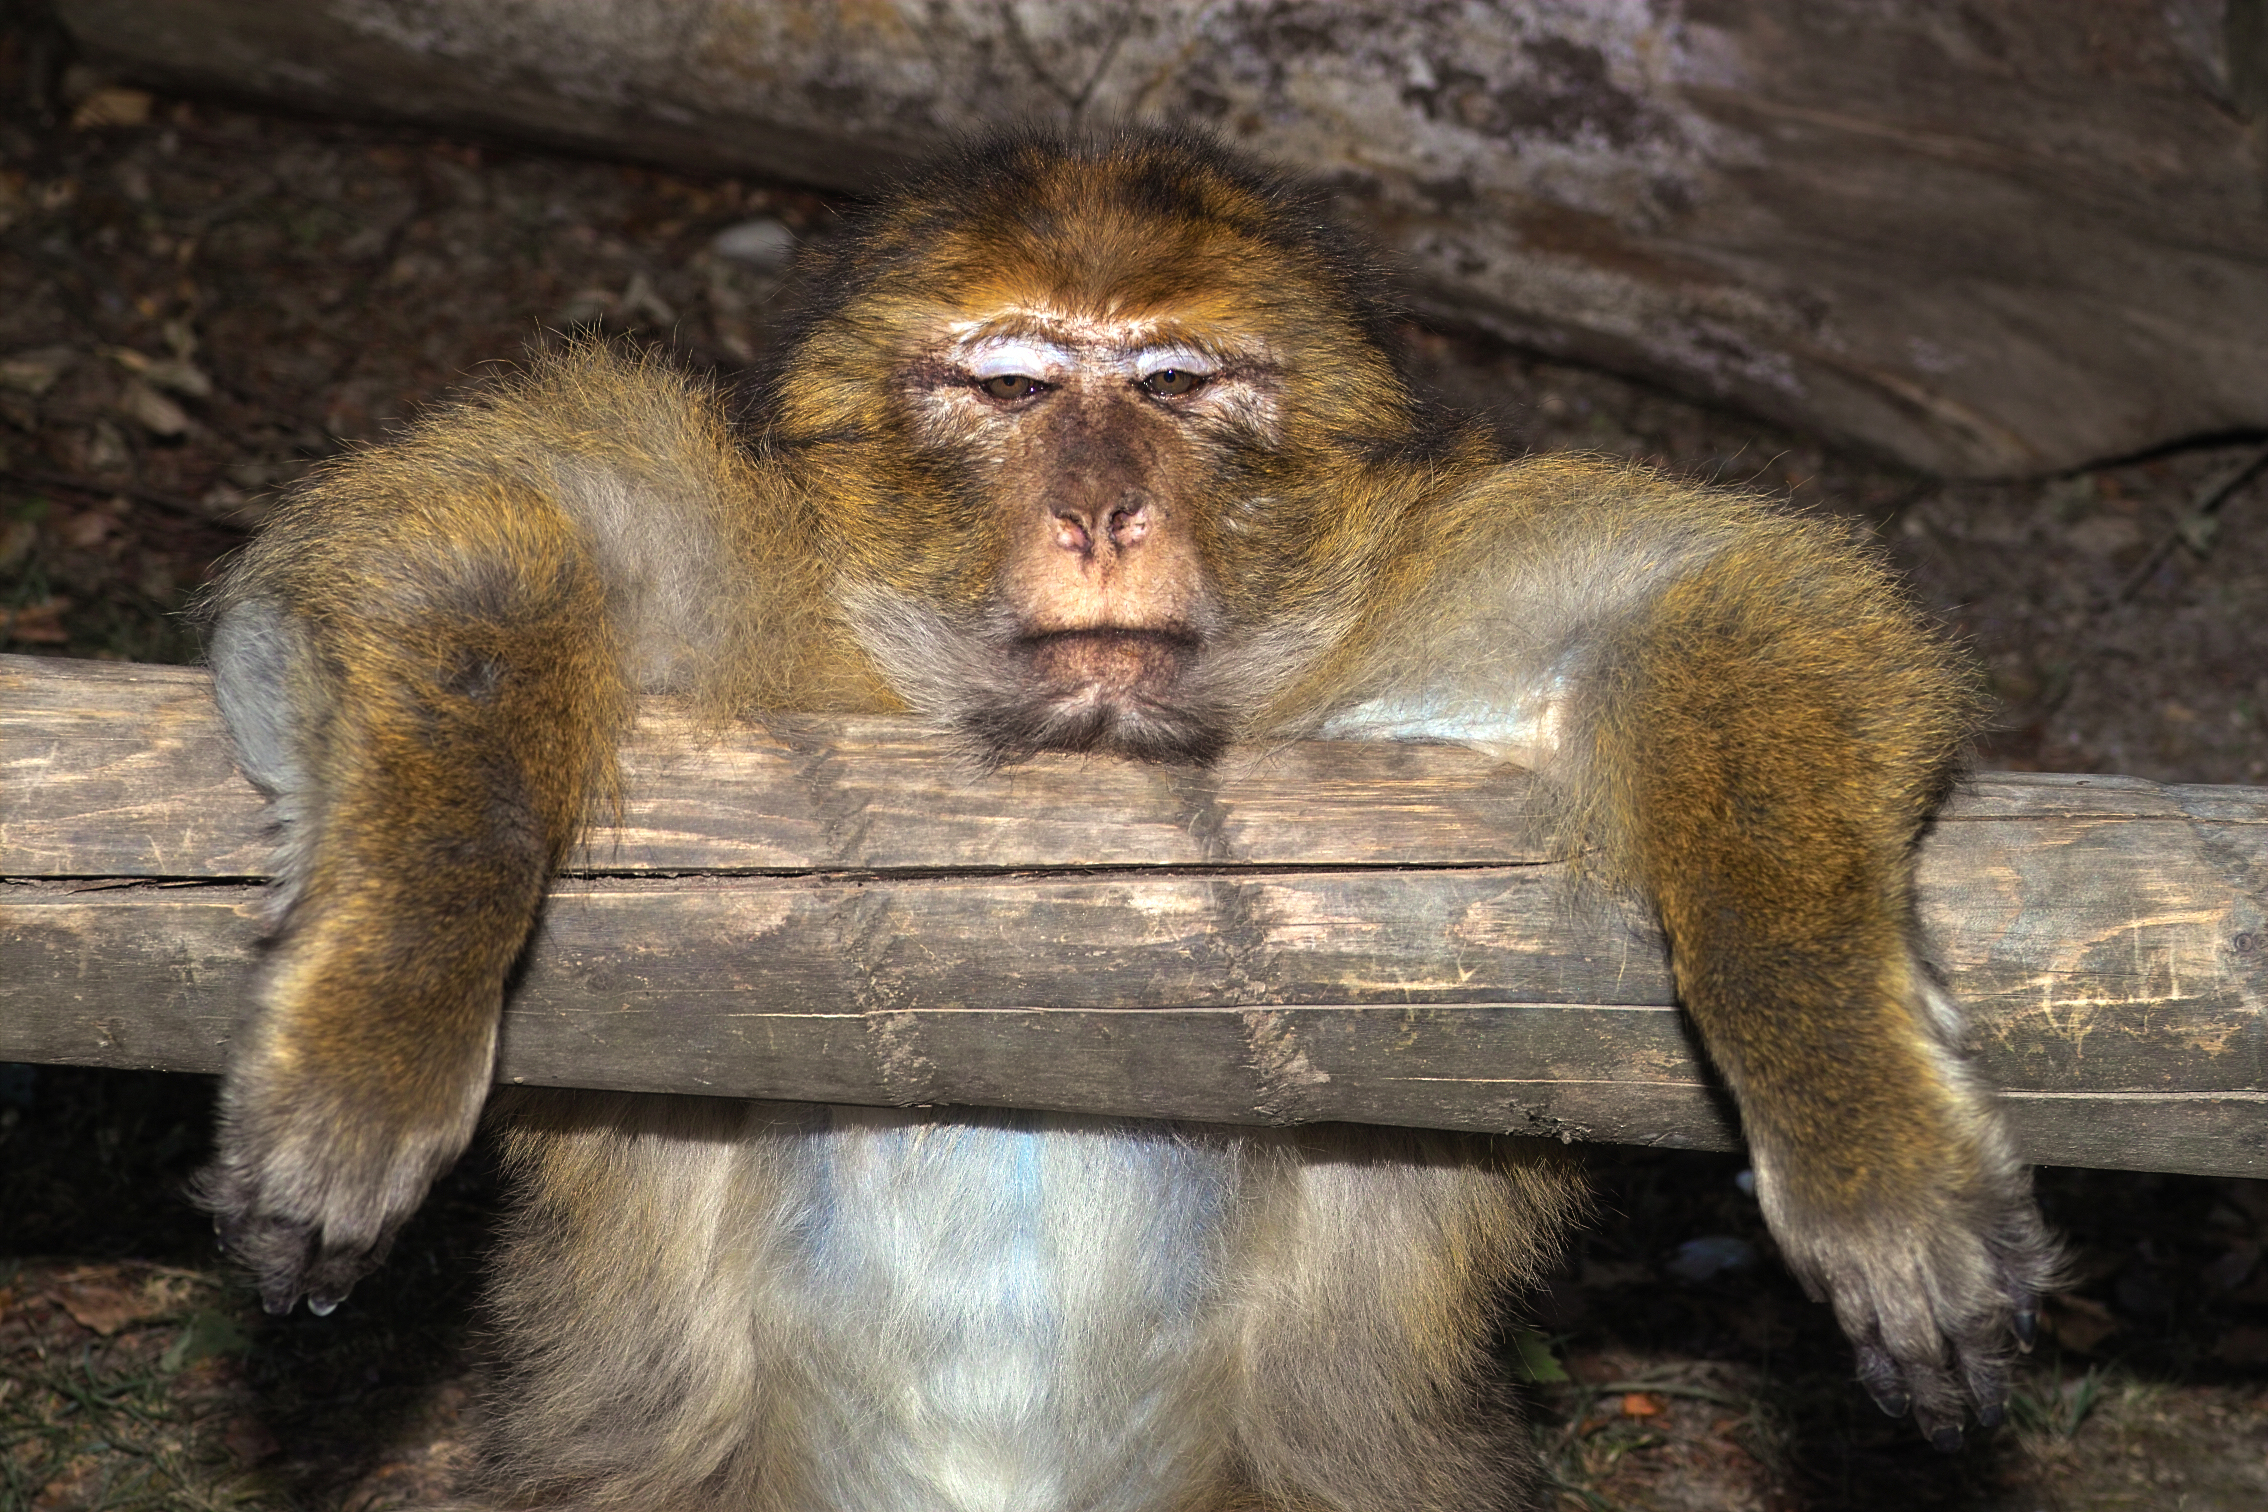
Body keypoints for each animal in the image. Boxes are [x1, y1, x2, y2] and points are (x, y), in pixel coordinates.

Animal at [204, 133, 2068, 1512]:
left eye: (1173, 383)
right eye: (1017, 386)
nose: (1101, 510)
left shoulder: (1401, 633)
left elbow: (1726, 591)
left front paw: (1860, 1130)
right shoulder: (750, 599)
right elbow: (466, 521)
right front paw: (381, 1028)